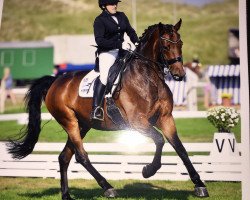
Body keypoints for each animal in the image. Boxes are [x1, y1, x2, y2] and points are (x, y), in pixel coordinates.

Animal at [7, 19, 209, 198]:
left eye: (180, 43)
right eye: (165, 46)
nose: (179, 74)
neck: (148, 78)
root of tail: (56, 80)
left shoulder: (166, 118)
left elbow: (180, 148)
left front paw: (199, 185)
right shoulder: (137, 122)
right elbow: (159, 140)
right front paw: (148, 170)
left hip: (83, 125)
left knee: (64, 157)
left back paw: (66, 195)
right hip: (69, 121)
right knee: (81, 156)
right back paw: (108, 187)